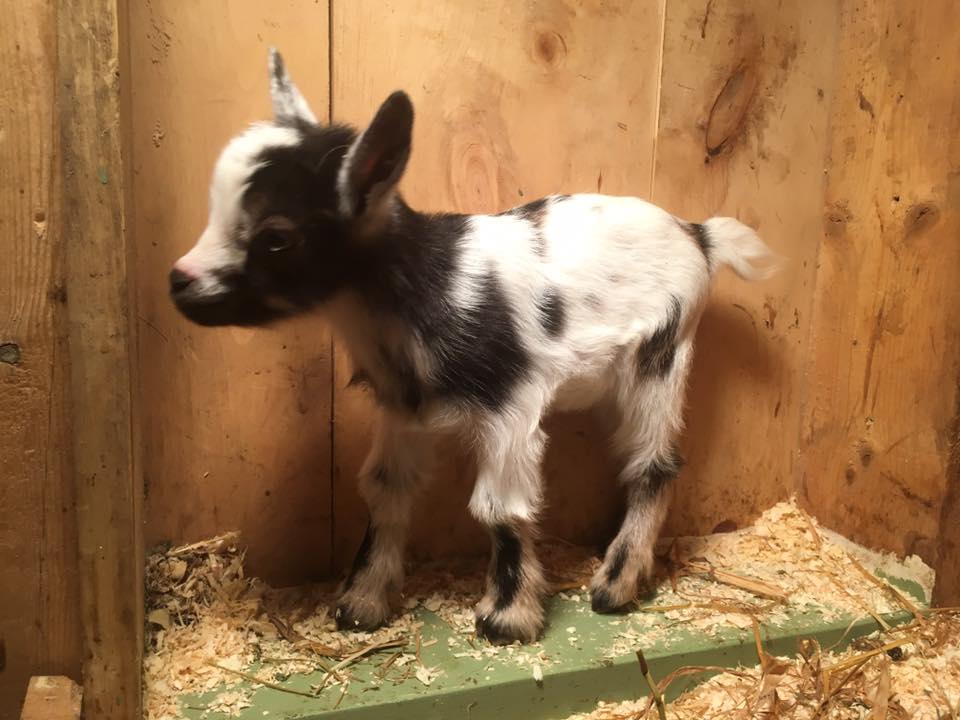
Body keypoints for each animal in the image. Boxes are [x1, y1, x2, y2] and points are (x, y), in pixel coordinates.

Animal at [169, 49, 777, 644]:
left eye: (277, 237)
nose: (180, 283)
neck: (427, 287)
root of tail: (699, 235)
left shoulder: (512, 407)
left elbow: (499, 510)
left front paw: (506, 618)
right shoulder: (404, 411)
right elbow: (386, 490)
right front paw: (361, 603)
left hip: (661, 356)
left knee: (655, 464)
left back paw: (615, 585)